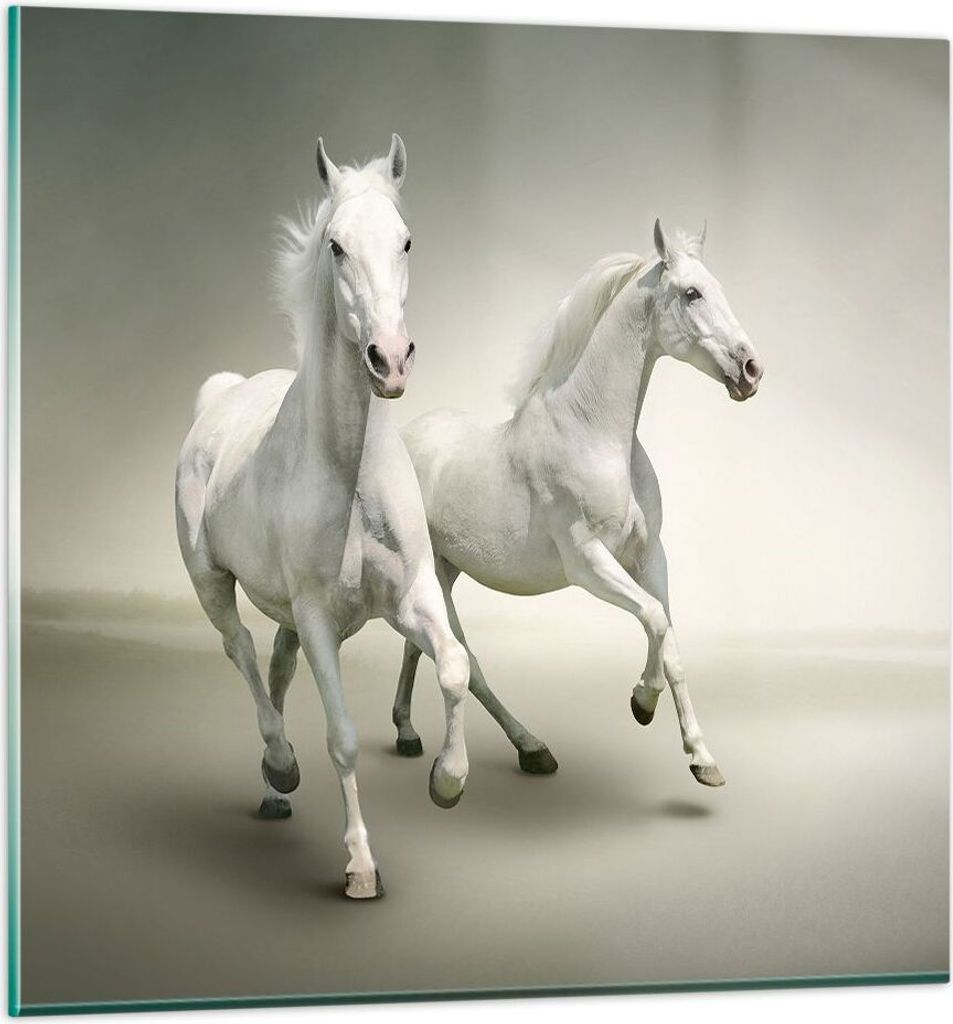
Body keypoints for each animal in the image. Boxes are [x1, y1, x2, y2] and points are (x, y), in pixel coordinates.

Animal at [175, 135, 470, 900]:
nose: (390, 360)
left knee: (274, 669)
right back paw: (280, 766)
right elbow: (341, 737)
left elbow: (454, 666)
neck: (351, 475)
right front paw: (361, 865)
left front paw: (447, 781)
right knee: (242, 654)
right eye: (335, 246)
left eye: (405, 240)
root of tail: (220, 397)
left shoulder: (412, 596)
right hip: (212, 582)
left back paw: (273, 790)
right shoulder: (317, 620)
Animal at [391, 220, 763, 789]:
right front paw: (646, 707)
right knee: (462, 659)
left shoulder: (649, 555)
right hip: (433, 571)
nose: (750, 369)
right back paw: (524, 749)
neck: (595, 435)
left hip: (446, 570)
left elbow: (670, 640)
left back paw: (411, 734)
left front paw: (698, 753)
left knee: (419, 645)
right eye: (692, 293)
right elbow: (654, 618)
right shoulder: (587, 563)